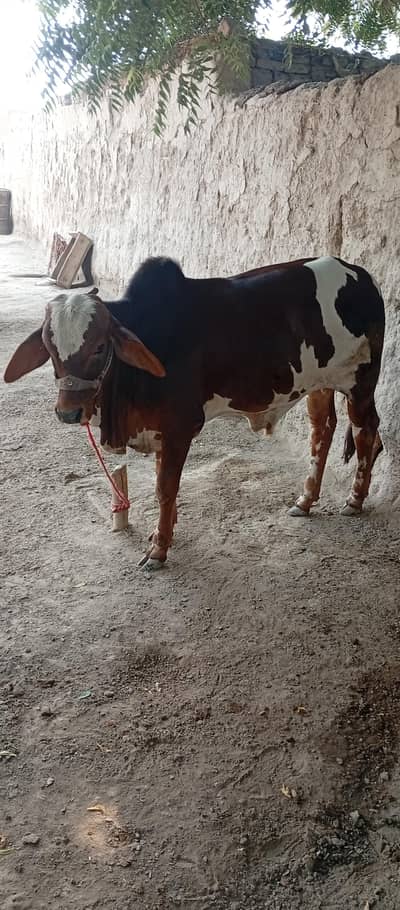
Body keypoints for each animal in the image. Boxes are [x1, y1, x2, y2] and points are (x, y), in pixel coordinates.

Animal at [4, 255, 385, 569]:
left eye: (99, 346)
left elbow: (165, 488)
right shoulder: (160, 431)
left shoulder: (179, 427)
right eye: (50, 347)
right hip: (319, 383)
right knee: (323, 430)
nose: (68, 412)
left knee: (366, 431)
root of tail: (361, 274)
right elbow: (164, 486)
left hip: (360, 382)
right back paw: (305, 500)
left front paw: (159, 550)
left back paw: (354, 500)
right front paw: (162, 533)